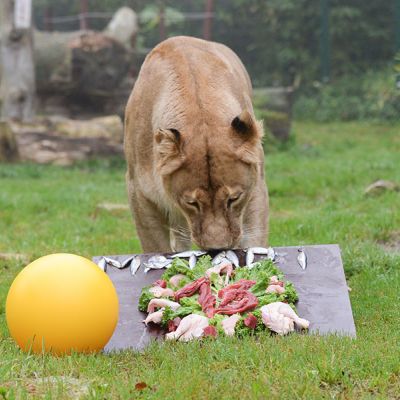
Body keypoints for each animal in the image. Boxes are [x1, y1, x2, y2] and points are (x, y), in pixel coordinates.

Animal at [124, 36, 269, 252]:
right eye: (192, 203)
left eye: (233, 199)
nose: (217, 249)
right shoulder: (139, 193)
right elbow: (155, 248)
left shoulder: (256, 185)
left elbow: (255, 239)